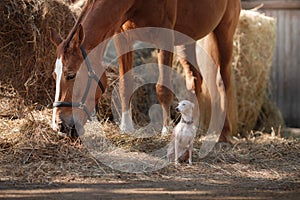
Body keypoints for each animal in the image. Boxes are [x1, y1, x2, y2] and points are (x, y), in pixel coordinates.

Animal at [50, 0, 240, 142]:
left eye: (71, 75)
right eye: (54, 75)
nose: (60, 126)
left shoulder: (165, 38)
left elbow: (163, 89)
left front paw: (166, 130)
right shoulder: (123, 37)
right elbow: (125, 86)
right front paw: (126, 128)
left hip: (224, 32)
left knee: (223, 82)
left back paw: (223, 134)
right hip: (187, 39)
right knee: (195, 80)